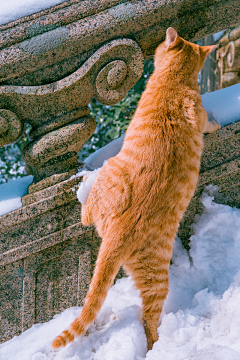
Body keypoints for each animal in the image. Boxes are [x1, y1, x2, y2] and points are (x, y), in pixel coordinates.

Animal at [52, 28, 221, 352]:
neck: (174, 80)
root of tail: (118, 232)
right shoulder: (198, 113)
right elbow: (208, 122)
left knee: (85, 216)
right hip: (154, 272)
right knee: (148, 318)